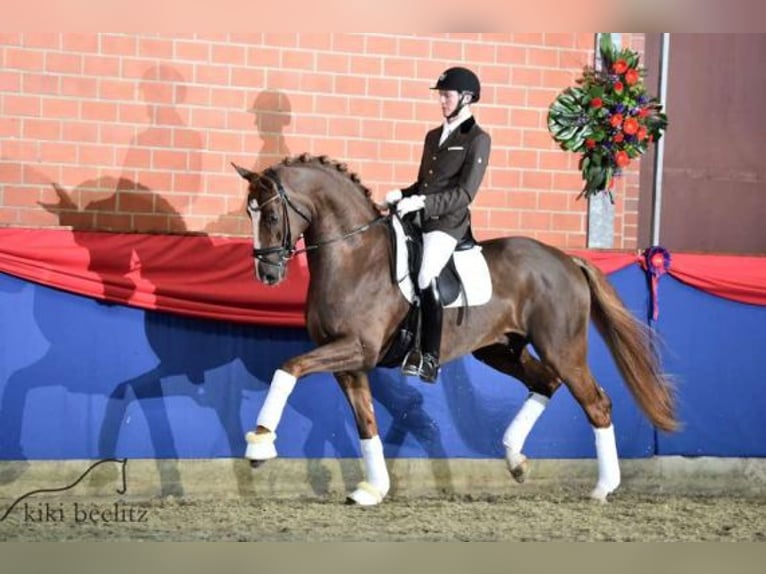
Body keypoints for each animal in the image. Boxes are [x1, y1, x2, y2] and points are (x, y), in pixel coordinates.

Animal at [232, 154, 680, 508]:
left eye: (270, 215)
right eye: (248, 214)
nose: (267, 274)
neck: (355, 257)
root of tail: (568, 260)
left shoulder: (358, 349)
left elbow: (288, 367)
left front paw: (260, 443)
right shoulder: (348, 360)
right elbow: (366, 423)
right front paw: (373, 489)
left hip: (562, 349)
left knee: (596, 403)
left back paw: (603, 488)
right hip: (501, 350)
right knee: (545, 383)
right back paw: (516, 461)